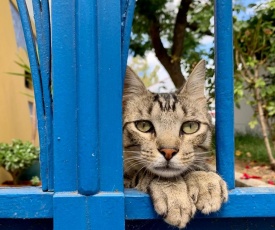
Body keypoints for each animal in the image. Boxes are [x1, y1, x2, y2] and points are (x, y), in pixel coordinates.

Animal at [123, 59, 229, 228]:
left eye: (190, 126)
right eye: (143, 126)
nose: (168, 151)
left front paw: (204, 179)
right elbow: (146, 173)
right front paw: (175, 194)